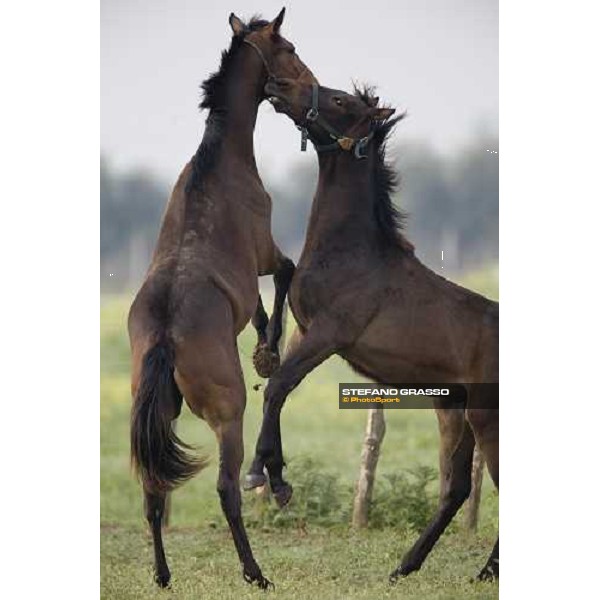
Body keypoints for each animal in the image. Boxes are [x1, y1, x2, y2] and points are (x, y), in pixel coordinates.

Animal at [128, 11, 316, 588]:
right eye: (289, 47)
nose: (310, 86)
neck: (218, 163)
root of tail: (165, 336)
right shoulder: (264, 255)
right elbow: (285, 278)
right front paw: (267, 352)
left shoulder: (243, 282)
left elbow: (256, 307)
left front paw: (264, 345)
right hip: (226, 412)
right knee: (228, 489)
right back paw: (256, 569)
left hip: (159, 415)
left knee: (152, 493)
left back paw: (163, 576)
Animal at [246, 78, 500, 580]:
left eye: (340, 100)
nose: (279, 85)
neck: (352, 253)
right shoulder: (305, 331)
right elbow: (277, 385)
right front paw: (277, 478)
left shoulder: (328, 335)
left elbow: (278, 387)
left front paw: (264, 476)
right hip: (454, 411)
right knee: (457, 487)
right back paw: (408, 566)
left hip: (485, 417)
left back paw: (483, 572)